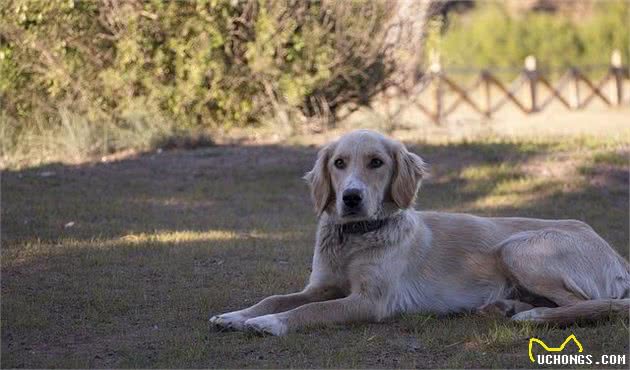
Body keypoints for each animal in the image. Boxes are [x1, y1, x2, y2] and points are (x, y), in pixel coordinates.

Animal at [211, 129, 630, 336]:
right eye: (339, 163)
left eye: (376, 163)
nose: (351, 198)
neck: (355, 237)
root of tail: (616, 254)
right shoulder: (321, 284)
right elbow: (276, 298)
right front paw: (236, 315)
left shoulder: (371, 301)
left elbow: (311, 310)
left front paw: (268, 324)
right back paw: (508, 307)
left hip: (519, 249)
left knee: (593, 305)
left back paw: (533, 316)